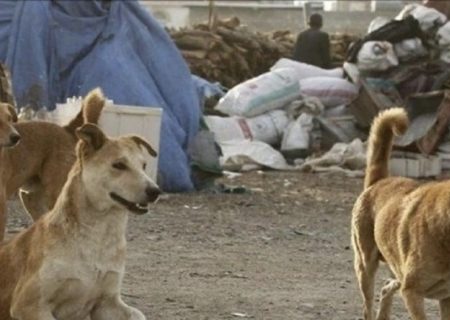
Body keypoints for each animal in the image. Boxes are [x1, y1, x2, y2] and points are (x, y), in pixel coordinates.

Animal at [0, 123, 160, 320]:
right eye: (119, 165)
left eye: (144, 166)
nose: (155, 191)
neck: (99, 237)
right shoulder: (28, 304)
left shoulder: (107, 304)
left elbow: (138, 314)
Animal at [350, 108, 450, 320]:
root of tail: (378, 181)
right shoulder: (412, 292)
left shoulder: (447, 298)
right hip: (365, 267)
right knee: (368, 307)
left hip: (395, 270)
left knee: (387, 287)